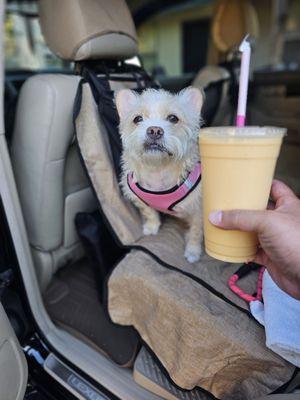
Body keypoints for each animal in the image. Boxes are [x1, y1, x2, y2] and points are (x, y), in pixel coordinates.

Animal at [115, 87, 204, 262]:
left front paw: (193, 250)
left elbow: (196, 231)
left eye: (173, 118)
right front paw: (152, 227)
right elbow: (149, 212)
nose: (154, 130)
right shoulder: (138, 198)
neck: (158, 168)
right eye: (137, 119)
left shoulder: (199, 210)